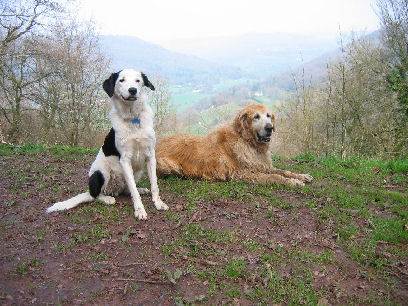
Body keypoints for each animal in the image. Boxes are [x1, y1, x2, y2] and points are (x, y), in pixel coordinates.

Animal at [47, 68, 168, 220]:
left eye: (138, 80)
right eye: (121, 80)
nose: (133, 90)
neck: (133, 118)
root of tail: (114, 190)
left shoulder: (150, 156)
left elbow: (154, 185)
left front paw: (158, 203)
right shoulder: (125, 160)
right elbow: (134, 192)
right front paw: (139, 210)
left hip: (138, 171)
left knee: (128, 189)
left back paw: (139, 189)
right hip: (100, 172)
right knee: (97, 194)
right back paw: (107, 198)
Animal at [156, 103, 312, 185]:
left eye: (268, 116)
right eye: (256, 117)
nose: (270, 127)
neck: (247, 142)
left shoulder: (263, 166)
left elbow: (283, 171)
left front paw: (302, 176)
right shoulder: (244, 173)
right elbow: (274, 177)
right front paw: (294, 182)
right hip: (168, 165)